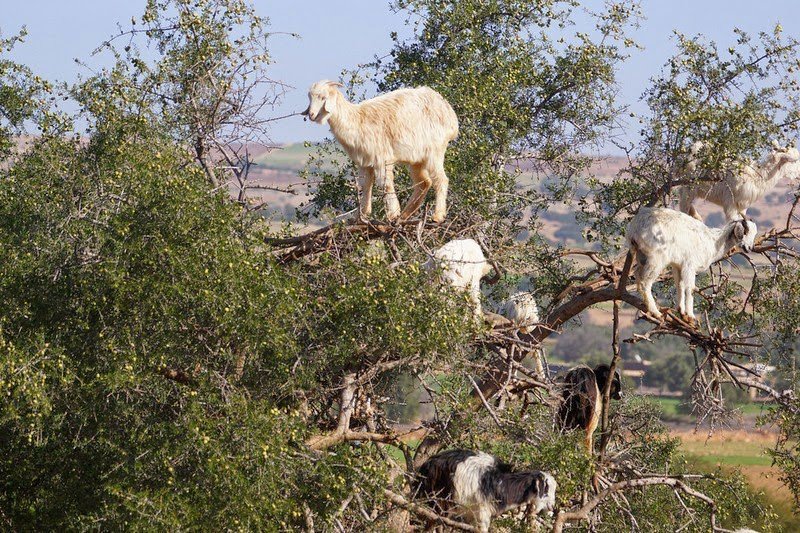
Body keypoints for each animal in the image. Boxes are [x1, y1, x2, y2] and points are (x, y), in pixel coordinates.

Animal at [304, 79, 460, 222]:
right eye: (310, 97)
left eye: (323, 97)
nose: (311, 115)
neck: (357, 119)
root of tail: (451, 117)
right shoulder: (365, 161)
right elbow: (366, 185)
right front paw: (360, 216)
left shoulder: (382, 157)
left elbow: (385, 184)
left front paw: (392, 214)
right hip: (417, 159)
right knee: (423, 183)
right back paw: (404, 216)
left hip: (435, 151)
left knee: (440, 179)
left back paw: (437, 216)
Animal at [416, 448, 552, 532]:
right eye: (546, 489)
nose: (551, 507)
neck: (502, 483)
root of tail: (427, 465)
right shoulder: (482, 512)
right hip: (439, 501)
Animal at [624, 207, 756, 324]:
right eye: (745, 232)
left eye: (754, 234)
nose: (748, 248)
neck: (713, 242)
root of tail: (634, 228)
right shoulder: (690, 265)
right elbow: (690, 288)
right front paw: (691, 316)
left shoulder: (678, 265)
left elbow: (680, 285)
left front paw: (682, 312)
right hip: (656, 258)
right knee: (645, 282)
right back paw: (656, 312)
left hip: (642, 256)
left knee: (637, 274)